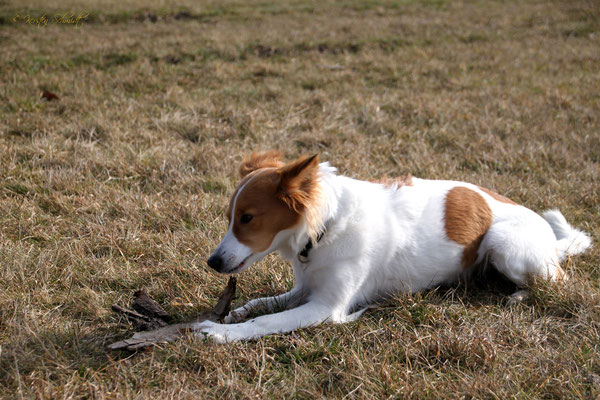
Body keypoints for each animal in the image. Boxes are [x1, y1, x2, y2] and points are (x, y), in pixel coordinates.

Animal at [195, 152, 592, 342]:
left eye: (247, 218)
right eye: (230, 216)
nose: (213, 262)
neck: (326, 227)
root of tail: (552, 241)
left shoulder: (326, 307)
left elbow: (265, 321)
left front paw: (222, 333)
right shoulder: (306, 287)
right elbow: (261, 304)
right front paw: (233, 312)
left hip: (503, 243)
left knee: (557, 280)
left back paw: (520, 295)